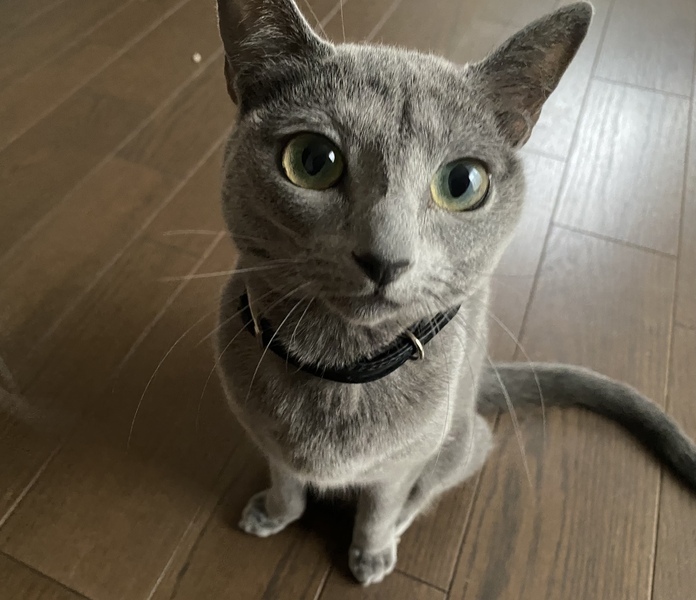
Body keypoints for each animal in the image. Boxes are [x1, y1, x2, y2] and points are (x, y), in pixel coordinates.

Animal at [213, 0, 696, 586]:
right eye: (311, 161)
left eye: (462, 182)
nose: (386, 258)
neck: (341, 365)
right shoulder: (263, 432)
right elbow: (286, 479)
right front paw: (273, 512)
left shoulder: (405, 460)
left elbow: (381, 507)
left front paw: (369, 554)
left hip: (462, 440)